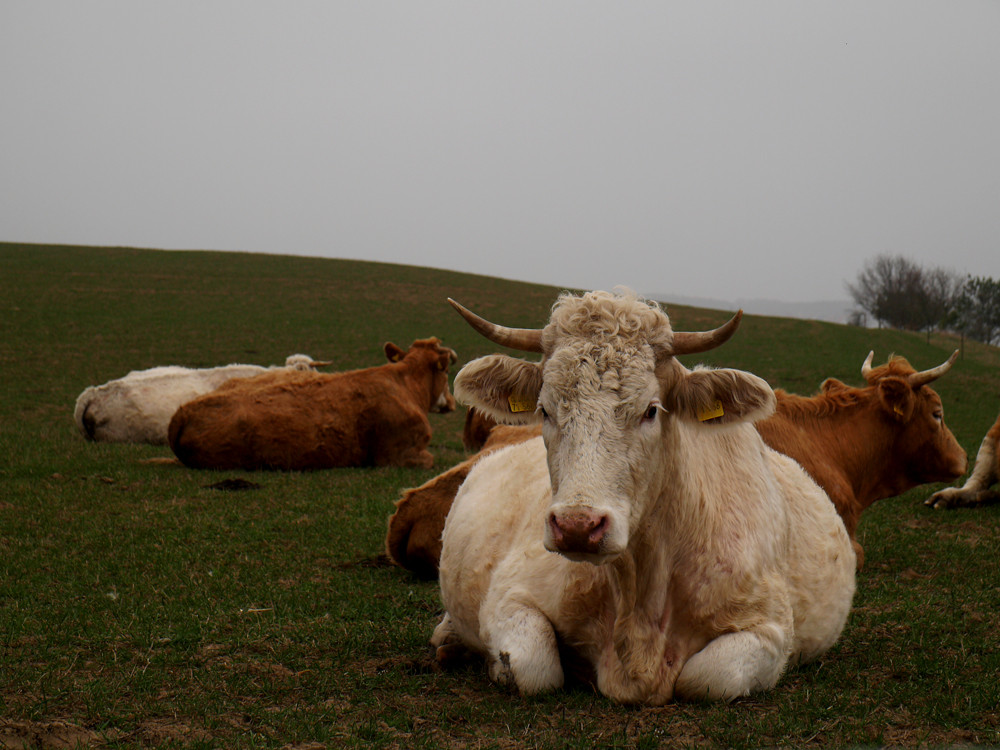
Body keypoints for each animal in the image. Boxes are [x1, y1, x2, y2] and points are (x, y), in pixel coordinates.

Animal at [169, 340, 458, 472]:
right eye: (445, 372)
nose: (453, 401)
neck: (407, 384)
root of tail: (184, 411)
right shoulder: (398, 455)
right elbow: (430, 459)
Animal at [430, 292, 852, 704]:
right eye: (544, 410)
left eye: (651, 410)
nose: (577, 526)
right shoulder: (510, 594)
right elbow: (534, 668)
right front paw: (496, 664)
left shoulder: (770, 629)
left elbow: (707, 678)